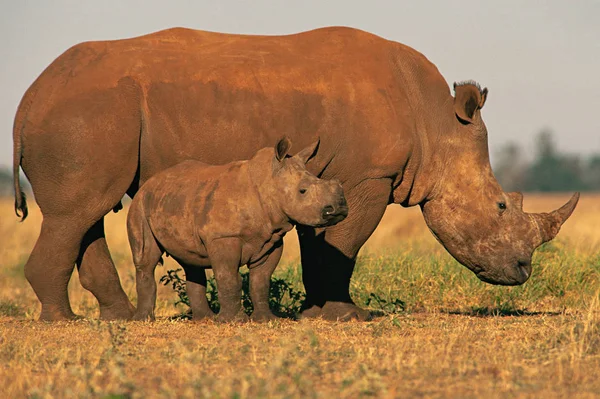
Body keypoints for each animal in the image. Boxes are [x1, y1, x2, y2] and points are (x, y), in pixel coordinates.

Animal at [129, 138, 350, 322]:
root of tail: (150, 181)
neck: (268, 183)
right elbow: (229, 278)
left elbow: (260, 281)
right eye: (302, 191)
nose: (338, 209)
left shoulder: (272, 239)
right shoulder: (224, 237)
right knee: (146, 260)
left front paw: (266, 319)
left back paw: (205, 319)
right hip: (141, 203)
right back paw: (143, 320)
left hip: (179, 199)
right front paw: (234, 321)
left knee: (191, 261)